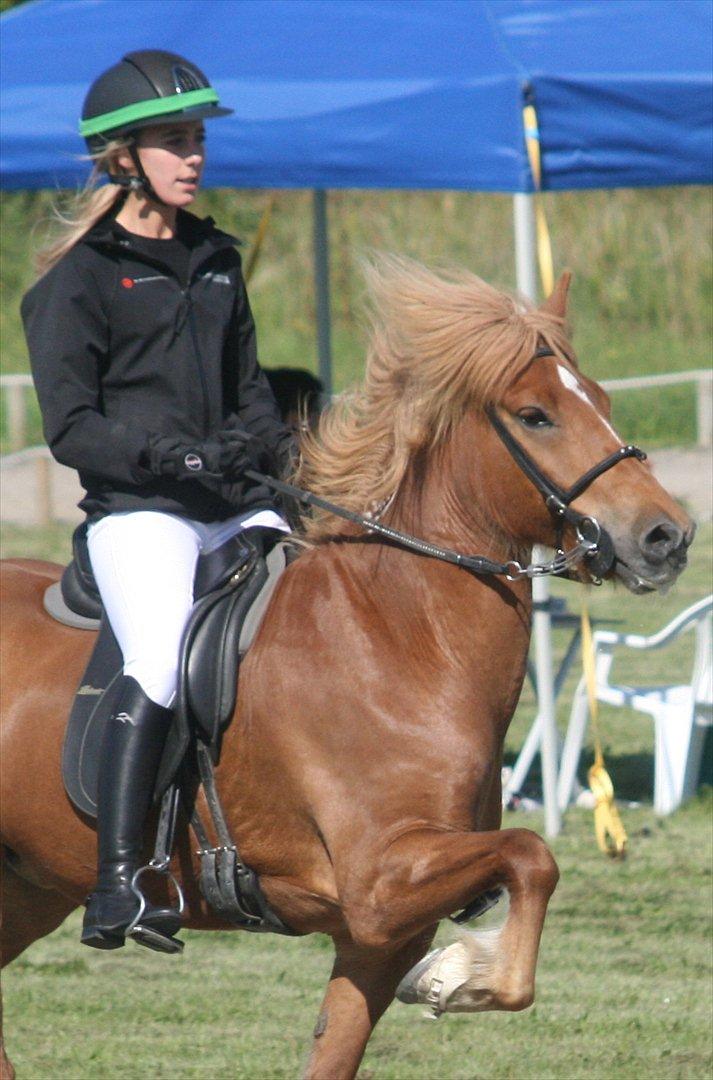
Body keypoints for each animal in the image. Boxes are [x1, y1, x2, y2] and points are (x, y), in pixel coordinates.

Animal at [0, 257, 691, 1075]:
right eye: (534, 416)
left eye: (603, 401)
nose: (666, 537)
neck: (402, 638)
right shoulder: (379, 884)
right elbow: (532, 853)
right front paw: (461, 978)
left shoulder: (379, 935)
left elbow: (341, 1043)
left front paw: (452, 974)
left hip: (27, 885)